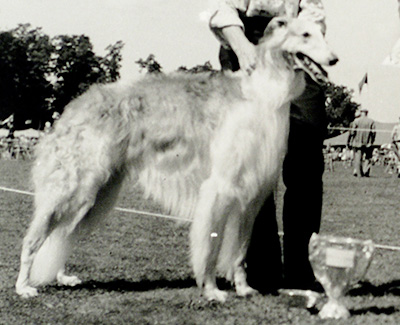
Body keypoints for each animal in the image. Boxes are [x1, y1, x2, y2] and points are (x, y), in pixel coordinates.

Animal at [15, 17, 338, 302]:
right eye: (305, 35)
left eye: (323, 33)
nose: (334, 59)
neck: (262, 93)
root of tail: (72, 107)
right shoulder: (219, 188)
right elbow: (210, 247)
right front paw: (212, 291)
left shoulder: (252, 195)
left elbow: (239, 252)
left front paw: (244, 289)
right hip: (76, 188)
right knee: (34, 239)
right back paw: (23, 287)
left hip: (95, 195)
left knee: (62, 235)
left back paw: (61, 277)